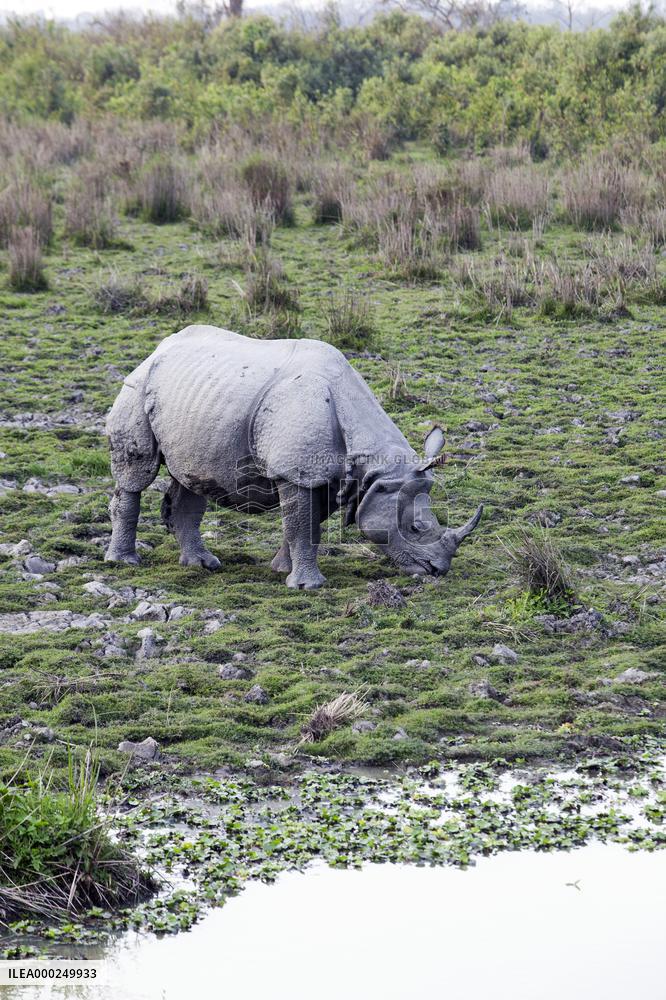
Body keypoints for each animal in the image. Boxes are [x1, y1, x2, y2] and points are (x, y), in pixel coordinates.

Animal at [105, 325, 482, 589]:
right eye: (417, 527)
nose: (438, 570)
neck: (377, 469)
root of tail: (158, 348)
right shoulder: (297, 471)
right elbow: (302, 524)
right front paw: (308, 586)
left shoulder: (330, 476)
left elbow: (305, 523)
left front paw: (283, 570)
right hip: (137, 386)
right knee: (136, 474)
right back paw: (125, 562)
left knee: (193, 479)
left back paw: (203, 564)